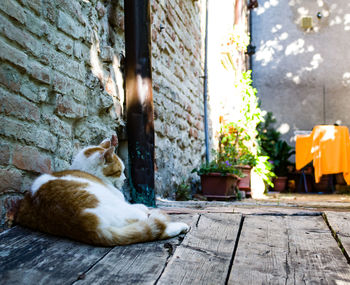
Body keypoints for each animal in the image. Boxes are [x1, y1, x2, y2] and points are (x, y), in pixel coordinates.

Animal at [16, 135, 190, 244]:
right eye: (120, 171)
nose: (125, 179)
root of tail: (88, 224)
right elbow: (138, 205)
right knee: (154, 226)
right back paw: (180, 226)